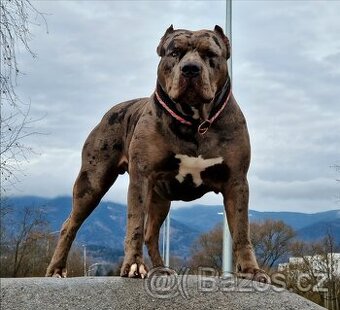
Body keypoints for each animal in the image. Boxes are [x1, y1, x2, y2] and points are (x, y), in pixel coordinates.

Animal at [46, 25, 270, 282]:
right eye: (174, 53)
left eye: (210, 54)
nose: (190, 68)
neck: (195, 122)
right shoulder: (141, 177)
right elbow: (134, 223)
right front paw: (133, 265)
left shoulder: (236, 181)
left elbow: (242, 229)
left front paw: (251, 270)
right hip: (92, 182)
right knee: (70, 224)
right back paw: (56, 269)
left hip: (160, 200)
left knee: (151, 234)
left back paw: (161, 268)